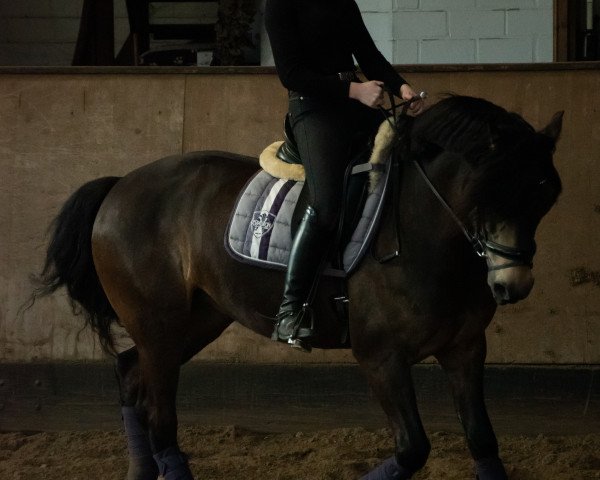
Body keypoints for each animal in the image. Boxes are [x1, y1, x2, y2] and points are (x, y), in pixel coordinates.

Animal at [35, 94, 564, 480]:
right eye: (489, 192)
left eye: (545, 198)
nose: (514, 285)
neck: (424, 232)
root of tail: (122, 184)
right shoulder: (381, 357)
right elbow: (413, 448)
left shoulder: (465, 348)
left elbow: (481, 440)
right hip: (159, 326)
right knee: (161, 420)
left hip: (196, 320)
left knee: (130, 376)